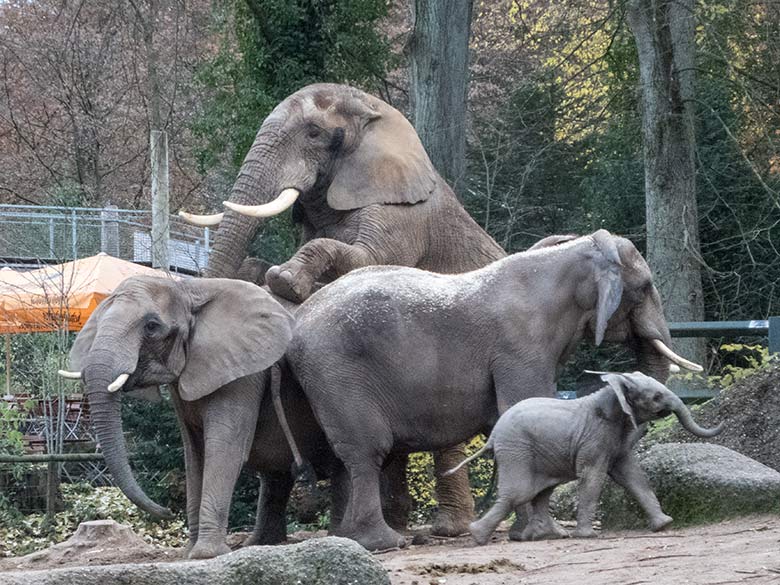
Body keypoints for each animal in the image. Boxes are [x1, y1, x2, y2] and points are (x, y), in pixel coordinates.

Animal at [58, 276, 338, 560]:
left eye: (151, 326)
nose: (168, 512)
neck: (189, 288)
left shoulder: (243, 374)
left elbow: (224, 449)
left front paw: (207, 554)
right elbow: (194, 454)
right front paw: (190, 553)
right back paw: (262, 544)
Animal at [179, 83, 502, 540]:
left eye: (314, 134)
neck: (374, 113)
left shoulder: (404, 215)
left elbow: (368, 260)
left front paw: (284, 279)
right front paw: (263, 275)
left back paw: (443, 530)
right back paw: (397, 526)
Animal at [448, 370, 724, 544]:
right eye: (656, 397)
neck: (613, 389)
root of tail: (494, 435)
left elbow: (632, 475)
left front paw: (665, 524)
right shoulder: (595, 437)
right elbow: (594, 476)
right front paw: (588, 537)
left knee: (541, 492)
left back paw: (549, 536)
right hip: (517, 451)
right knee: (520, 492)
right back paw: (478, 536)